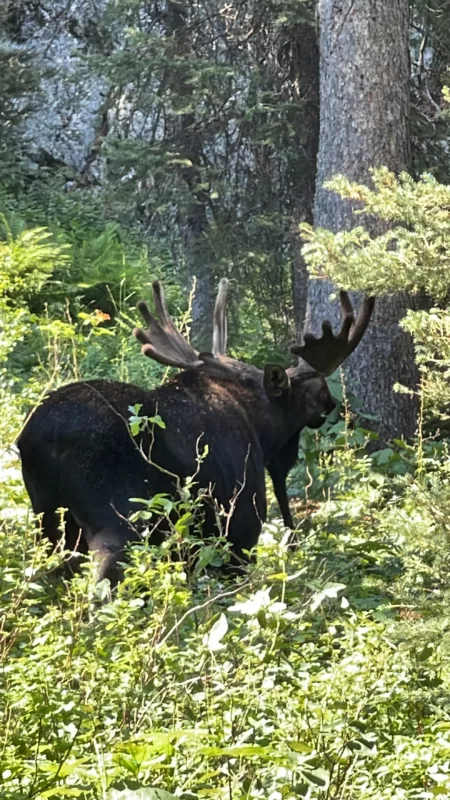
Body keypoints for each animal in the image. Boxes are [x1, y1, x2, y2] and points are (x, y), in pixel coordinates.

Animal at [17, 278, 374, 584]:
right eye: (318, 392)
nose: (335, 406)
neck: (262, 430)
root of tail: (39, 439)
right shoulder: (241, 524)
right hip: (119, 519)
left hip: (49, 522)